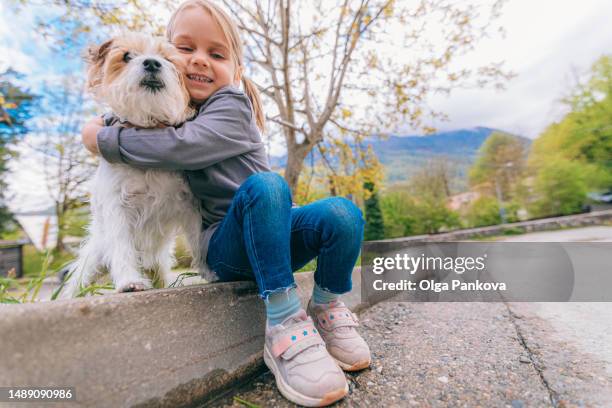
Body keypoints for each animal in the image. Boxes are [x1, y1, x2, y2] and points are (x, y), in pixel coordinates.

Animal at [61, 32, 202, 296]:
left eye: (169, 59)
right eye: (126, 56)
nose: (152, 63)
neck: (148, 132)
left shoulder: (191, 206)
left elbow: (200, 240)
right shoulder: (118, 208)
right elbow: (122, 246)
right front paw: (128, 281)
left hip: (158, 263)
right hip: (92, 261)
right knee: (78, 282)